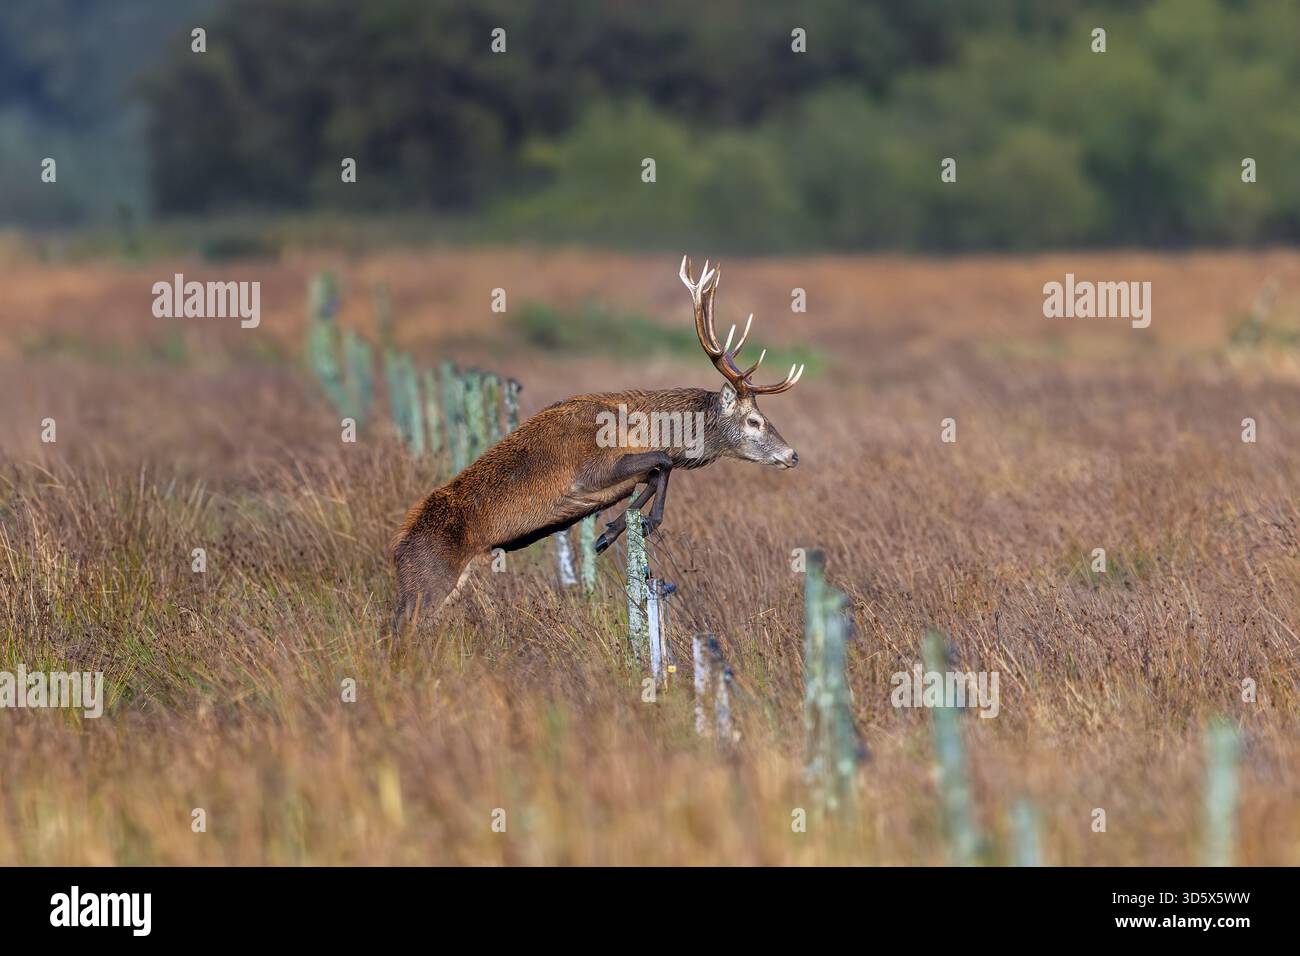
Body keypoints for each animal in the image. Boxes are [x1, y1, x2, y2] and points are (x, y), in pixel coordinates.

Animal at [390, 256, 804, 630]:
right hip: (427, 582)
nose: (792, 454)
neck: (638, 426)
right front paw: (641, 524)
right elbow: (664, 462)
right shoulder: (592, 468)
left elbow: (652, 474)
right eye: (754, 420)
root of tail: (396, 551)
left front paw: (611, 532)